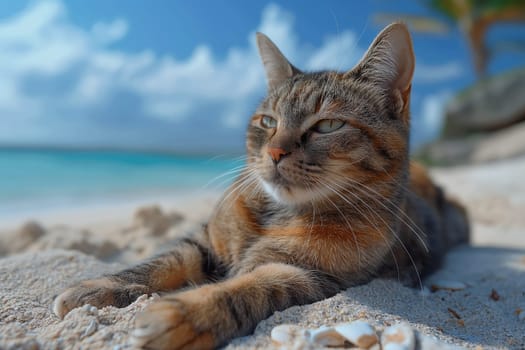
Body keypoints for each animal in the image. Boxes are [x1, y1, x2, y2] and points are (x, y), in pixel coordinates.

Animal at [53, 23, 468, 348]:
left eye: (328, 125)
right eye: (268, 121)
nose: (275, 151)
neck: (277, 213)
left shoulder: (308, 275)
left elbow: (246, 290)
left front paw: (185, 316)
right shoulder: (205, 242)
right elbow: (158, 263)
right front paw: (97, 287)